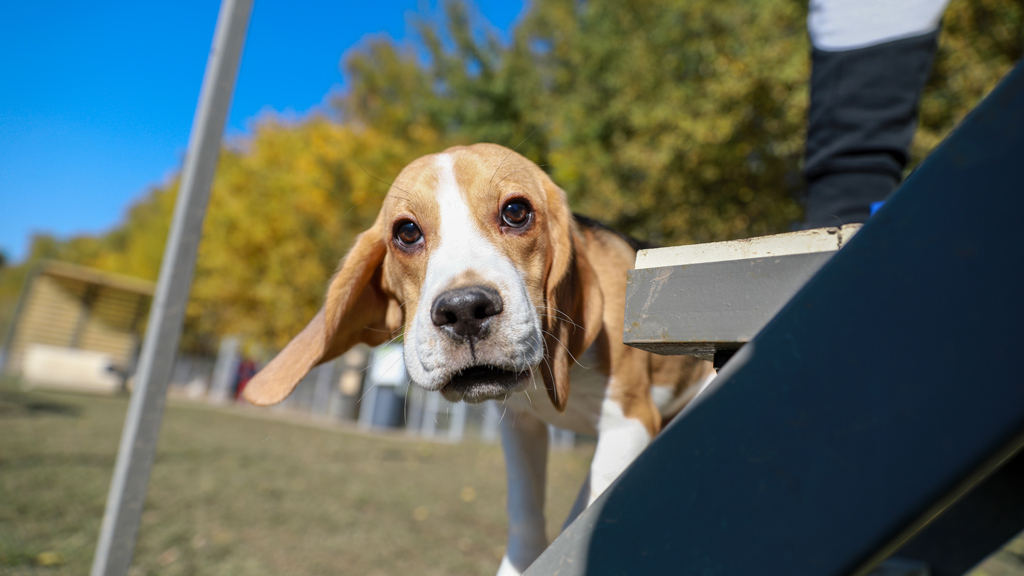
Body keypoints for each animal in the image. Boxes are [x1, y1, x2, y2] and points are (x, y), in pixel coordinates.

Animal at [243, 143, 716, 573]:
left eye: (516, 212)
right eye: (407, 232)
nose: (465, 310)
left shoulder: (627, 419)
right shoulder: (522, 427)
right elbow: (525, 514)